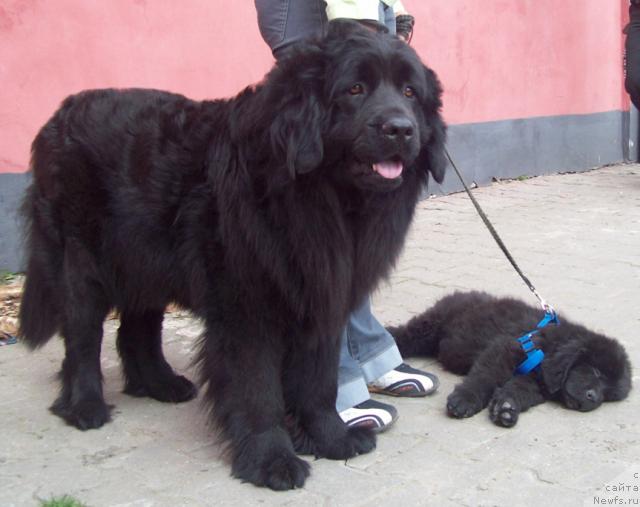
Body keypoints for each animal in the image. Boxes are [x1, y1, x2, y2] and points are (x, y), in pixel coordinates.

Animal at [16, 20, 444, 492]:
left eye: (410, 92)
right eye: (355, 89)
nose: (400, 129)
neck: (316, 198)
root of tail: (60, 113)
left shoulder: (321, 298)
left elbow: (318, 381)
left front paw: (331, 437)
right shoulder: (246, 308)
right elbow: (257, 389)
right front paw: (271, 459)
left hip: (147, 260)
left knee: (135, 329)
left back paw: (160, 385)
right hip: (81, 262)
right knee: (82, 336)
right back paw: (85, 406)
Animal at [388, 292, 632, 426]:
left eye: (608, 395)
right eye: (597, 372)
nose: (593, 398)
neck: (549, 350)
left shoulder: (534, 382)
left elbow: (519, 389)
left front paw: (506, 408)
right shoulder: (504, 351)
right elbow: (485, 377)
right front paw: (465, 400)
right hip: (430, 326)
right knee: (405, 335)